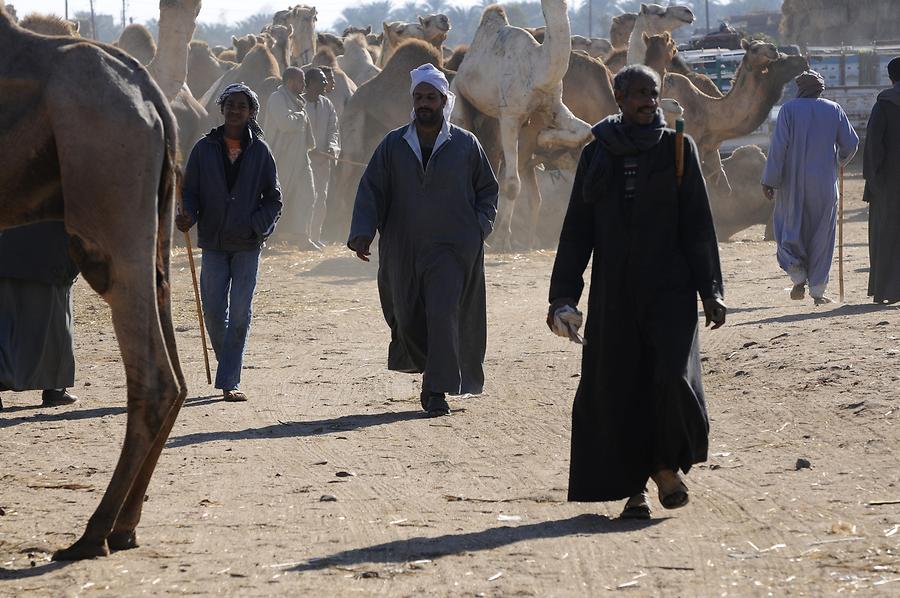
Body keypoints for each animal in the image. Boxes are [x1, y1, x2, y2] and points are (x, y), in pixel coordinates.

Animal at [0, 5, 186, 564]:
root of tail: (149, 93)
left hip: (104, 167)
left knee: (155, 376)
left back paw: (92, 533)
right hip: (155, 215)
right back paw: (124, 527)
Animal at [454, 1, 596, 250]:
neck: (538, 69)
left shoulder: (554, 104)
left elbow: (585, 131)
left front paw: (546, 138)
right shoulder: (510, 115)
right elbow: (512, 185)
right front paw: (502, 239)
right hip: (460, 96)